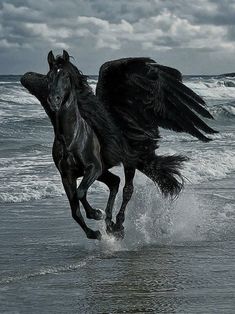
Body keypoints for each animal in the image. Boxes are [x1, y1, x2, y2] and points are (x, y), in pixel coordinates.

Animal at [20, 49, 217, 240]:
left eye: (66, 76)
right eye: (48, 77)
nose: (53, 100)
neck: (71, 138)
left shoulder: (93, 167)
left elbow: (81, 193)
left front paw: (95, 214)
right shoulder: (67, 175)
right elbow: (75, 209)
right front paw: (94, 232)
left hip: (126, 162)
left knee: (126, 189)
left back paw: (118, 225)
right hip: (105, 171)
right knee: (115, 182)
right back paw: (110, 225)